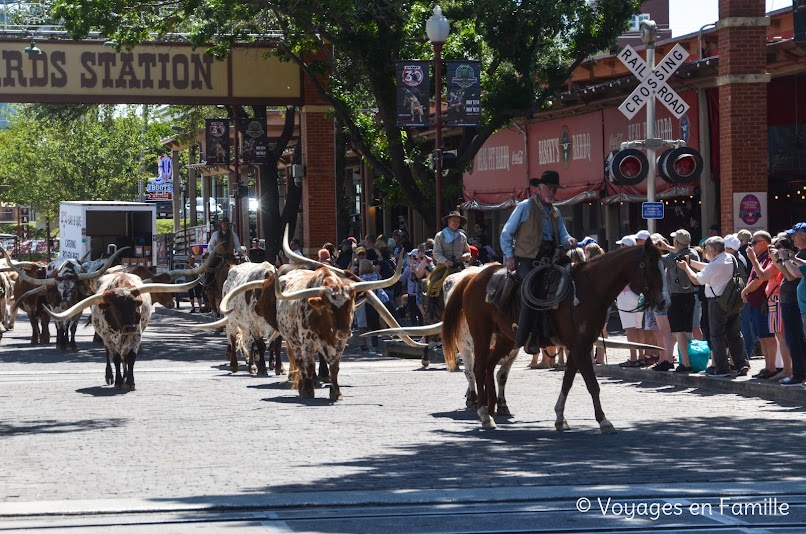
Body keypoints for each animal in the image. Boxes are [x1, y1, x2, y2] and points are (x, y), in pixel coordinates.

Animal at [442, 243, 668, 436]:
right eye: (651, 267)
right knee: (478, 369)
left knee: (490, 366)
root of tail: (472, 277)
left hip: (506, 339)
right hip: (480, 335)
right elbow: (592, 384)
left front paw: (560, 418)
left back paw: (491, 410)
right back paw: (483, 414)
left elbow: (568, 382)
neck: (589, 289)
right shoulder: (580, 347)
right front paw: (604, 421)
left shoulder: (579, 346)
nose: (664, 302)